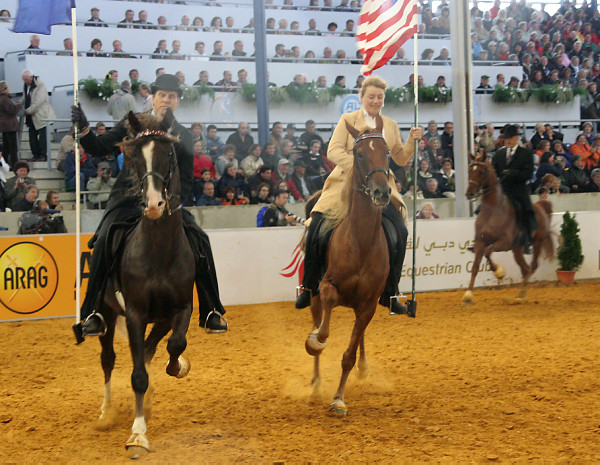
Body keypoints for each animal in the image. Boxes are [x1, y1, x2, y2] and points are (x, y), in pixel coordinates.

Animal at [96, 112, 195, 458]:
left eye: (169, 155)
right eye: (135, 157)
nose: (154, 204)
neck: (159, 251)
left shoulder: (179, 309)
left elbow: (174, 346)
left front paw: (178, 367)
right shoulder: (136, 314)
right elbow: (137, 374)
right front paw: (137, 434)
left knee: (150, 350)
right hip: (107, 314)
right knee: (108, 360)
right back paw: (105, 413)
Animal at [305, 116, 392, 415]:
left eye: (387, 153)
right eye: (360, 154)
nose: (381, 192)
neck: (361, 241)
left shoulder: (368, 304)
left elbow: (349, 355)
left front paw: (339, 399)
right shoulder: (326, 285)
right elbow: (325, 323)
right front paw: (316, 341)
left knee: (359, 335)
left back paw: (363, 369)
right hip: (312, 293)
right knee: (319, 317)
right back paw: (316, 383)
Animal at [463, 151, 554, 304]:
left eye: (481, 172)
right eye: (470, 171)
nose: (470, 194)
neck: (492, 211)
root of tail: (541, 206)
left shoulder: (504, 243)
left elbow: (488, 252)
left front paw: (498, 271)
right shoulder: (481, 242)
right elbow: (475, 267)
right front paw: (468, 295)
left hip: (537, 242)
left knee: (532, 267)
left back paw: (521, 294)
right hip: (517, 249)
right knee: (525, 269)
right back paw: (520, 294)